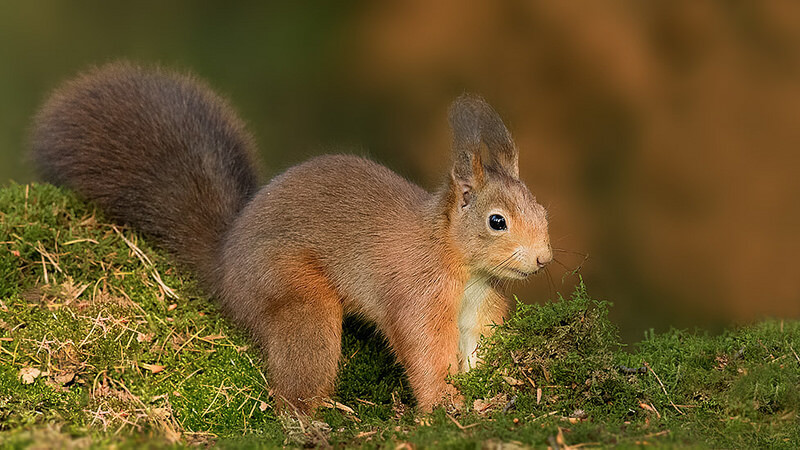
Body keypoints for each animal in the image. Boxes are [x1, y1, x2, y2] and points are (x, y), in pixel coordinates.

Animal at [30, 61, 552, 414]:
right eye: (497, 222)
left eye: (544, 211)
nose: (544, 259)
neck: (464, 267)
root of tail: (226, 263)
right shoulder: (417, 293)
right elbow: (424, 354)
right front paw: (443, 408)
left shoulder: (480, 307)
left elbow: (480, 347)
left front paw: (496, 391)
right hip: (294, 296)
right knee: (294, 381)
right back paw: (312, 421)